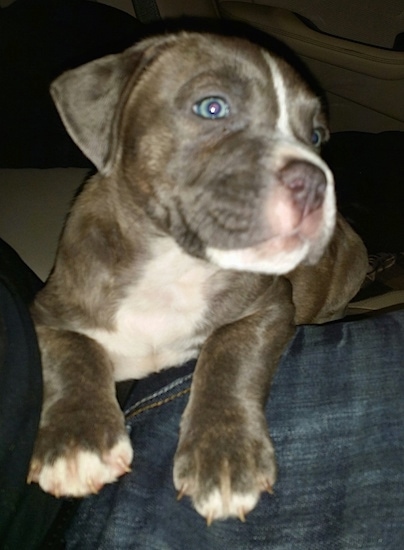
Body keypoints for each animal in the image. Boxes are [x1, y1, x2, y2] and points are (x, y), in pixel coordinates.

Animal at [29, 31, 370, 528]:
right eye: (213, 108)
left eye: (315, 136)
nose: (316, 182)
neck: (172, 263)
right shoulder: (47, 311)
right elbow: (73, 352)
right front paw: (76, 443)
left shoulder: (270, 305)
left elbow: (229, 353)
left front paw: (224, 457)